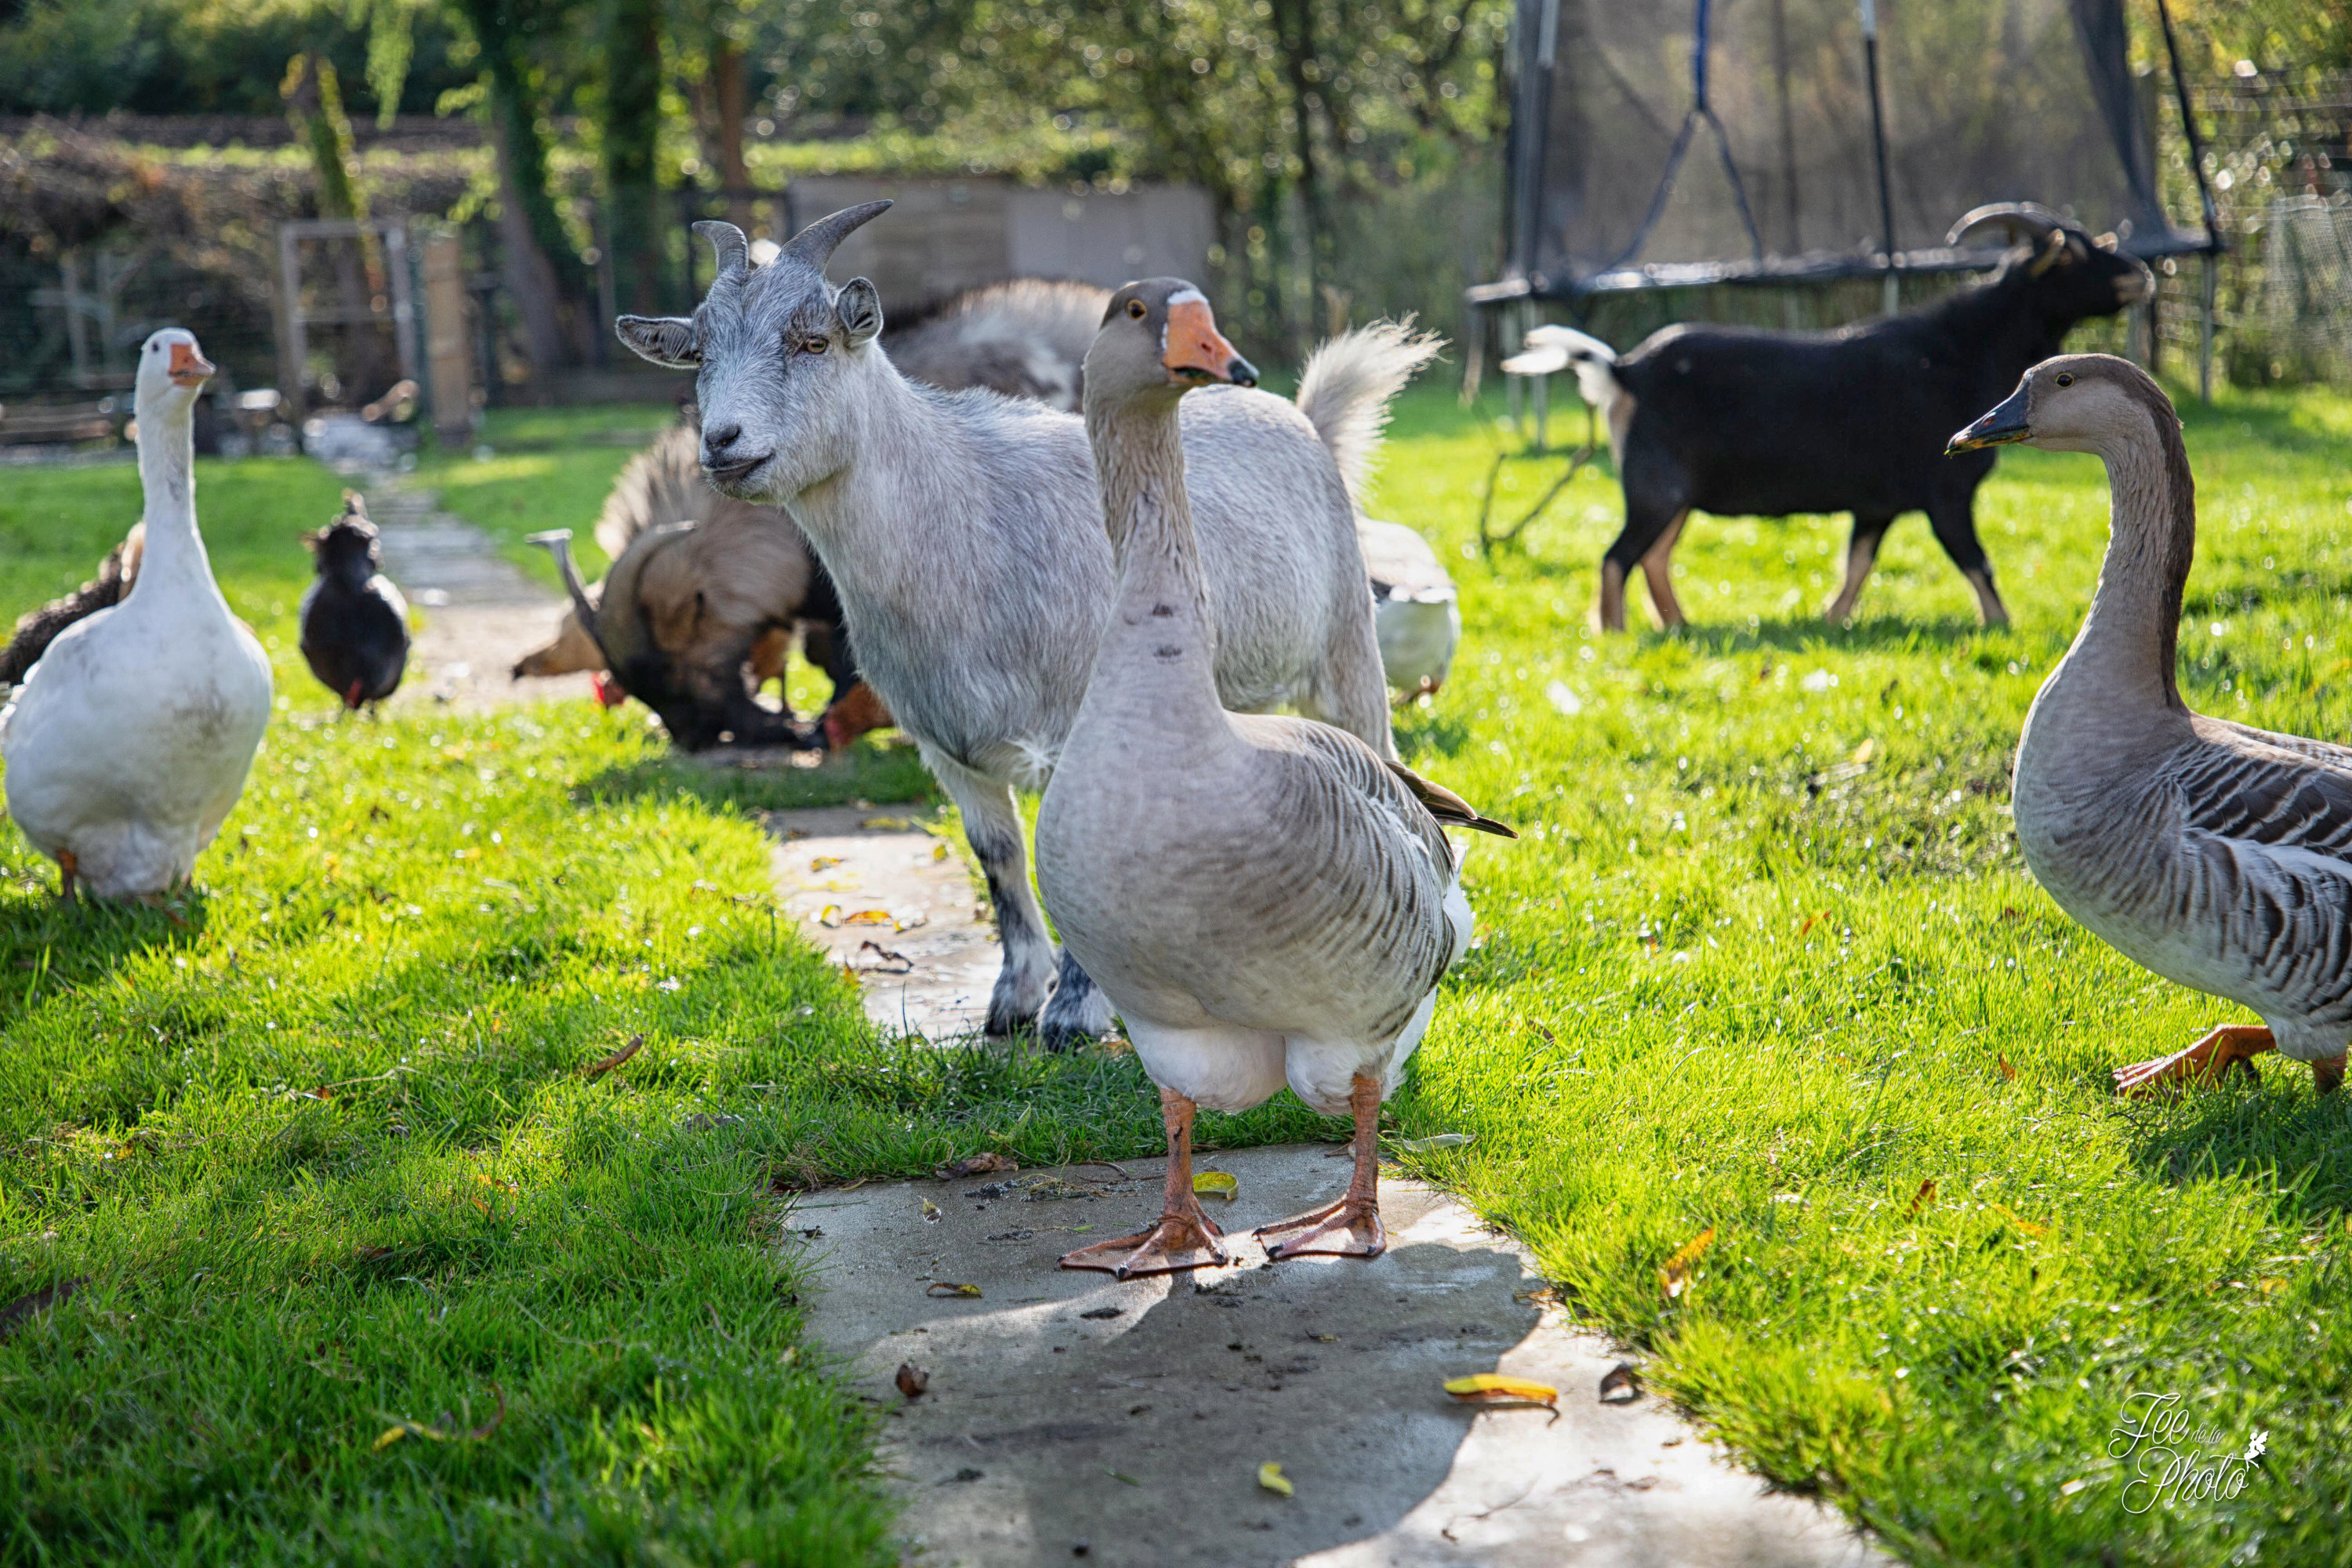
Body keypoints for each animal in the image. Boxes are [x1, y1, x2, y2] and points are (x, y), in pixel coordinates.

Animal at [621, 205, 1430, 1044]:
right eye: (700, 354)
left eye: (813, 342)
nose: (722, 442)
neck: (966, 519)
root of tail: (1304, 418)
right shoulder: (943, 741)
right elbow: (1000, 857)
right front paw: (1012, 1000)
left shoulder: (1081, 724)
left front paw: (1074, 1012)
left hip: (1346, 650)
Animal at [1552, 205, 2154, 634]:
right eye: (2073, 255)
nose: (2142, 274)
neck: (1960, 351)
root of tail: (1625, 369)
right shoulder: (1946, 492)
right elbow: (1976, 562)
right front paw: (2003, 628)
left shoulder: (1876, 505)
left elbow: (1858, 563)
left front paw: (1831, 620)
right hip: (1655, 488)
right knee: (1617, 557)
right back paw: (1615, 635)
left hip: (1675, 498)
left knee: (1653, 557)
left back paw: (1678, 625)